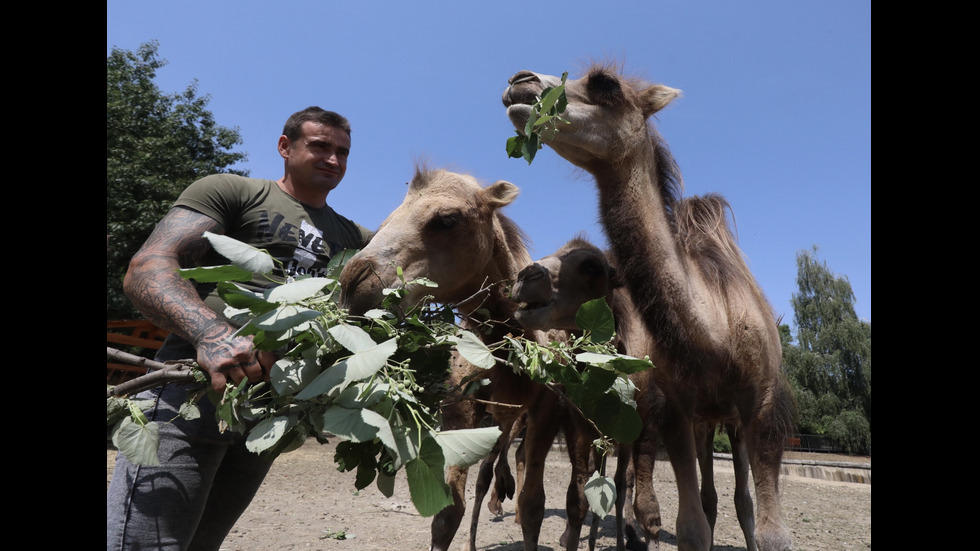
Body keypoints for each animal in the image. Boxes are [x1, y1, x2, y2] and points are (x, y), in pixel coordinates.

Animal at [340, 167, 600, 551]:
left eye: (447, 219)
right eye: (386, 219)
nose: (354, 285)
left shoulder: (546, 410)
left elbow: (534, 505)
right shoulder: (460, 404)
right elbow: (449, 510)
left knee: (578, 488)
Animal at [506, 66, 796, 551]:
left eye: (605, 83)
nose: (520, 83)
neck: (715, 332)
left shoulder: (762, 404)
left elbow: (773, 532)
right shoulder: (674, 409)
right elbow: (690, 526)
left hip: (732, 423)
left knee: (742, 500)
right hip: (701, 420)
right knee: (709, 497)